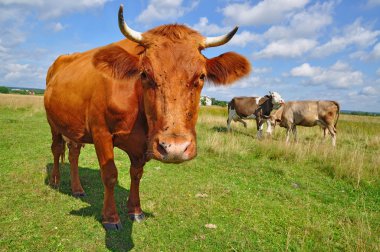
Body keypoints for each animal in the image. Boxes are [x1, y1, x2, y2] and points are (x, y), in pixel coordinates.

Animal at [43, 3, 251, 229]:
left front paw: (135, 210)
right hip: (53, 124)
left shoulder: (142, 145)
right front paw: (111, 217)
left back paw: (77, 188)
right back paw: (55, 181)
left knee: (73, 153)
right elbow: (110, 175)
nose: (175, 148)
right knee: (56, 149)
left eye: (201, 76)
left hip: (74, 127)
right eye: (144, 74)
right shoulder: (101, 133)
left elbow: (136, 175)